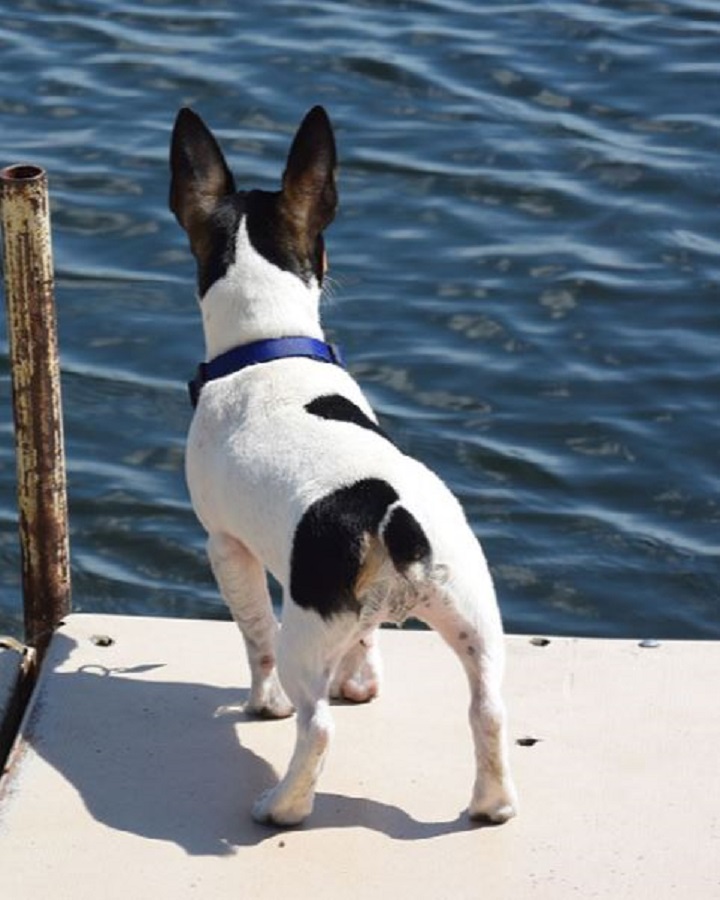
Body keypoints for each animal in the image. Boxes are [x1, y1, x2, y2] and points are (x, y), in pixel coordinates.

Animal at [169, 105, 516, 828]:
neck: (268, 348)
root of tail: (394, 516)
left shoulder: (226, 547)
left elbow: (253, 635)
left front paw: (262, 706)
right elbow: (365, 641)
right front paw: (363, 683)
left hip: (306, 628)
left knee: (316, 723)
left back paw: (282, 806)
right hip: (474, 613)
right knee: (487, 708)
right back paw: (491, 805)